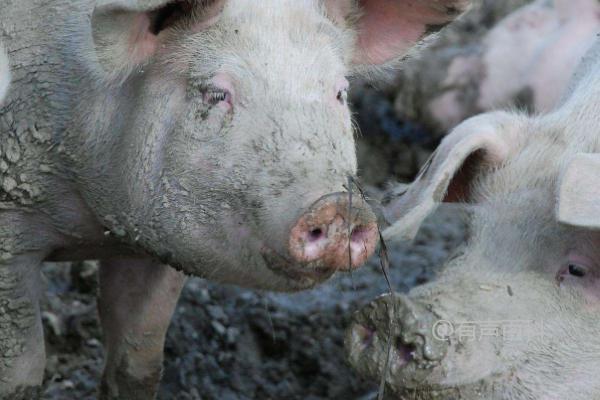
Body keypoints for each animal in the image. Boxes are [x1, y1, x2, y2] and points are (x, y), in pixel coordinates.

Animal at [0, 0, 474, 400]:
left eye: (339, 92)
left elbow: (138, 361)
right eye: (215, 94)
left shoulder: (158, 245)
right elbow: (21, 373)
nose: (339, 206)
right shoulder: (11, 226)